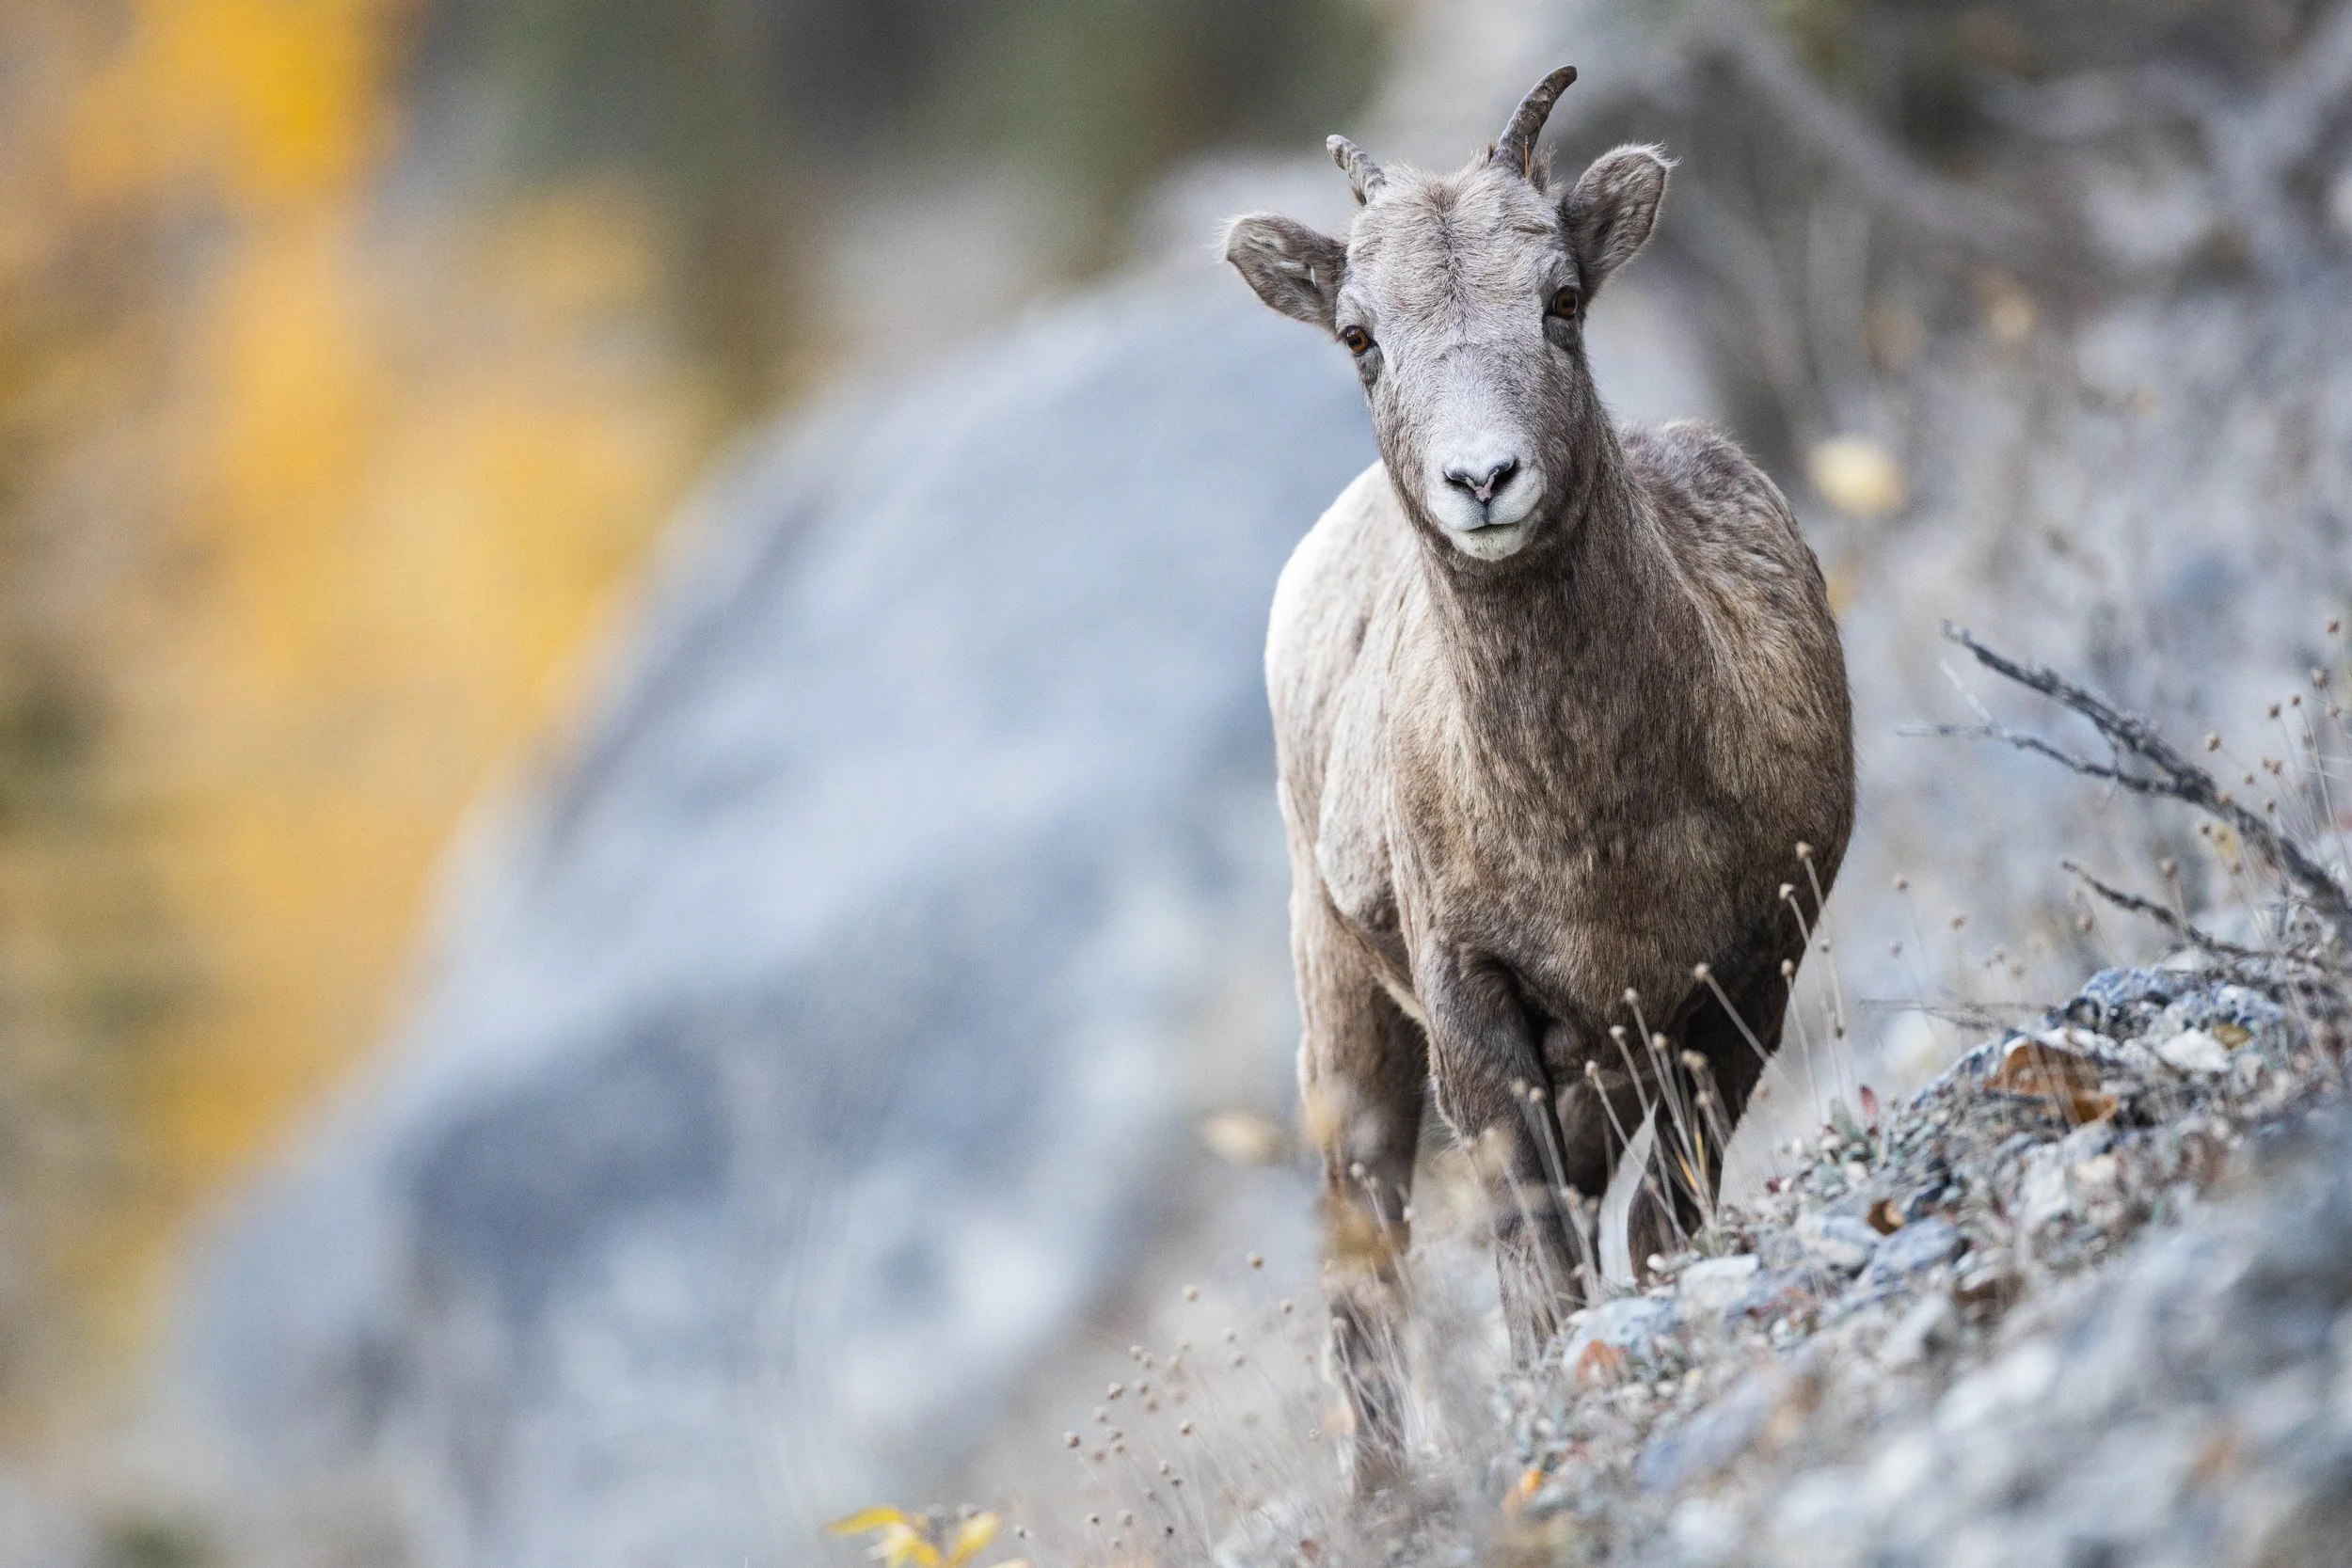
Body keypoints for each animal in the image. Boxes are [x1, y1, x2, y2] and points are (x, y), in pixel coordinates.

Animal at [1224, 65, 1854, 1490]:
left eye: (1561, 298)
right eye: (1359, 335)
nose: (1483, 478)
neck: (1599, 829)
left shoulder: (1740, 985)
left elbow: (1662, 1218)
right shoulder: (1475, 1014)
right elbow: (1539, 1261)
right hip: (1349, 1017)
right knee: (1365, 1247)